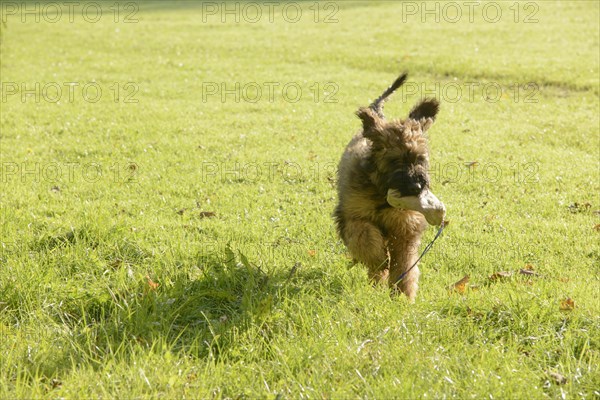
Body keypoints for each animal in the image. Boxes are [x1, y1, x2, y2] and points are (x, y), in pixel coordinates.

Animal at [336, 74, 442, 300]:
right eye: (394, 160)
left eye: (420, 159)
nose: (416, 186)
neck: (381, 193)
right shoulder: (353, 216)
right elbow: (366, 239)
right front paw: (379, 261)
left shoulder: (404, 226)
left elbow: (404, 262)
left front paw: (403, 294)